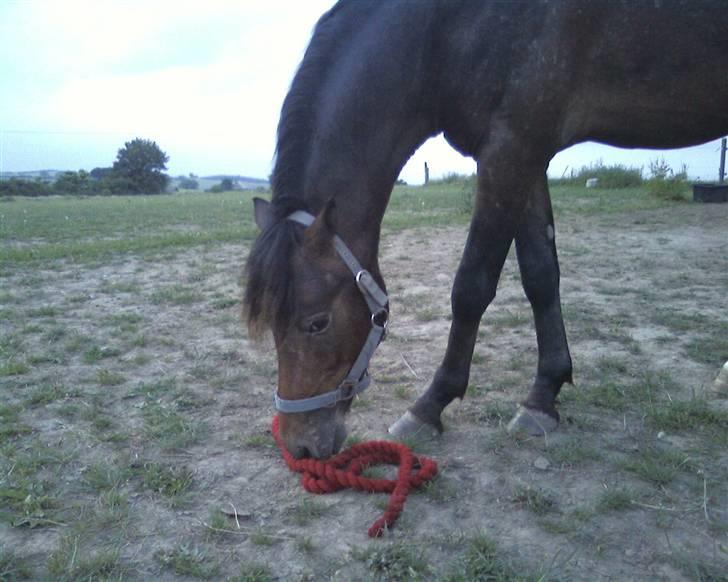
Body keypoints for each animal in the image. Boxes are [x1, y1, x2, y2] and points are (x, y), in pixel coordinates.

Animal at [246, 0, 728, 460]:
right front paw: (542, 397)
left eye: (317, 323)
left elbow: (471, 287)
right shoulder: (527, 153)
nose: (300, 445)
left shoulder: (511, 147)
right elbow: (540, 276)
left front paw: (429, 407)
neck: (441, 30)